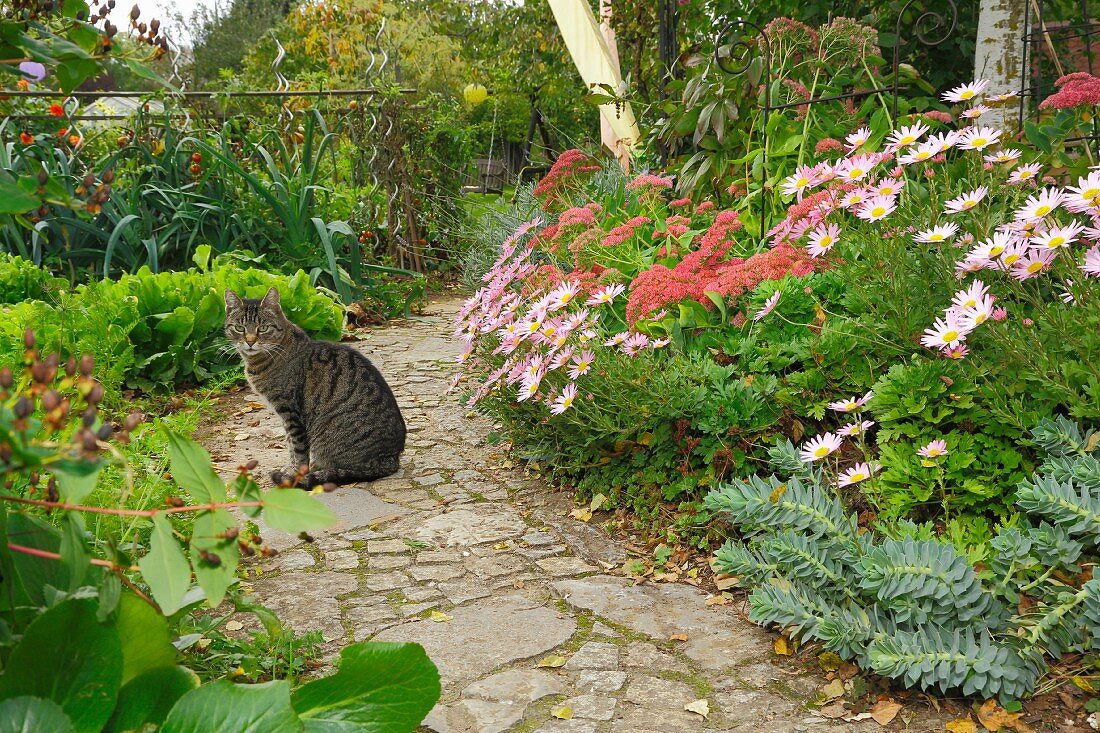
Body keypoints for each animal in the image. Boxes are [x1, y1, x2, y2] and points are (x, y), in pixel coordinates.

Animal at [221, 286, 407, 484]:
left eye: (263, 328)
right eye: (239, 328)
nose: (250, 342)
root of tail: (390, 459)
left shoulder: (290, 412)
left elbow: (298, 449)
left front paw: (295, 474)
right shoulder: (285, 416)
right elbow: (290, 445)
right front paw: (290, 468)